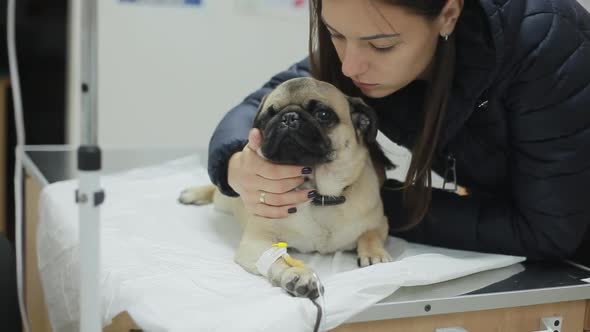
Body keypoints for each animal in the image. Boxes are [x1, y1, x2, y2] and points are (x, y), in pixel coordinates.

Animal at [178, 77, 396, 298]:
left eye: (323, 115)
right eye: (268, 116)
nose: (289, 117)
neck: (318, 196)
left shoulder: (380, 223)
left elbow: (369, 235)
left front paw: (375, 253)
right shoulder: (257, 241)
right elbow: (279, 258)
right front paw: (298, 274)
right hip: (226, 198)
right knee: (216, 192)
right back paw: (193, 194)